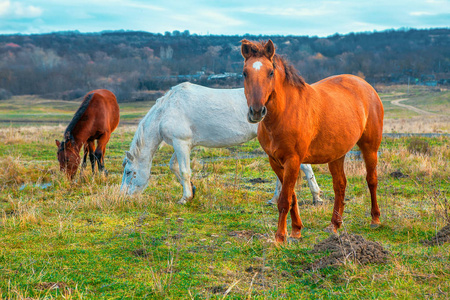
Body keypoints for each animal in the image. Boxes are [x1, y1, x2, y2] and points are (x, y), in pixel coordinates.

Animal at [120, 81, 324, 205]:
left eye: (129, 172)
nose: (122, 196)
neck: (166, 110)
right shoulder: (185, 145)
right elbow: (175, 167)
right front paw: (192, 190)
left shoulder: (180, 142)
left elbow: (184, 171)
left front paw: (185, 198)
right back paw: (276, 199)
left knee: (304, 166)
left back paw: (316, 198)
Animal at [241, 39, 384, 243]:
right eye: (245, 73)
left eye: (270, 72)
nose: (256, 111)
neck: (285, 111)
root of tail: (366, 86)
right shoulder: (276, 162)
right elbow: (291, 197)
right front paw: (296, 231)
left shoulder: (293, 161)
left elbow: (284, 199)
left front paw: (280, 238)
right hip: (337, 155)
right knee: (340, 185)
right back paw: (334, 225)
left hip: (370, 148)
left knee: (371, 180)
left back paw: (375, 219)